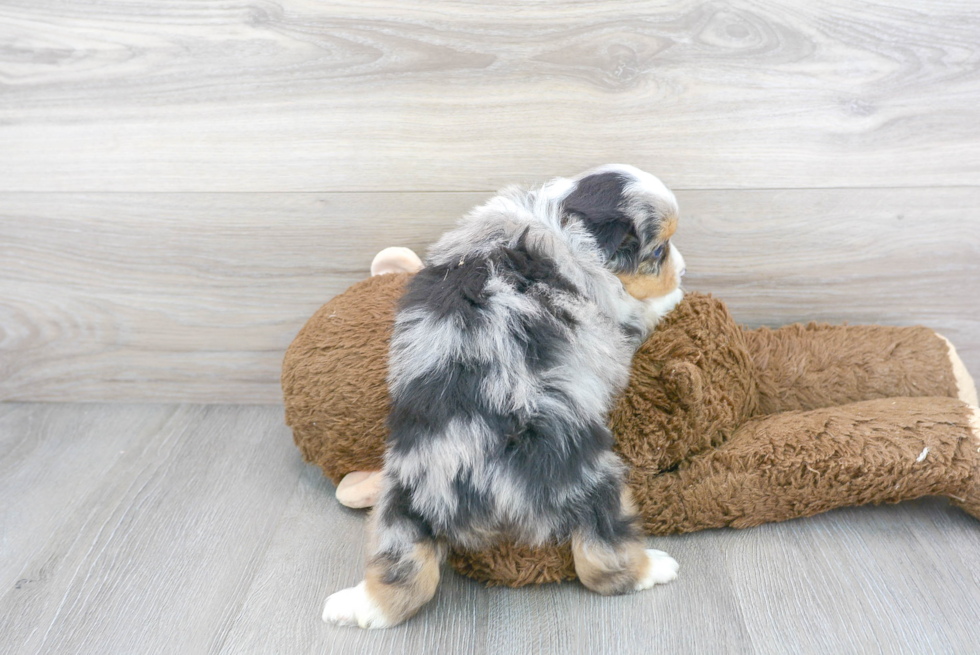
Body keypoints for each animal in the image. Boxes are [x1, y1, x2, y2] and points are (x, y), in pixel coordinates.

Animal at [326, 165, 684, 632]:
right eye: (658, 251)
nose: (683, 266)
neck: (562, 217)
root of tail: (468, 474)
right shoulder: (617, 318)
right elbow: (643, 309)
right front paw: (674, 294)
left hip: (401, 501)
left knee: (403, 582)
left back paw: (354, 606)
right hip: (590, 478)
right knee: (601, 559)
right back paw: (653, 568)